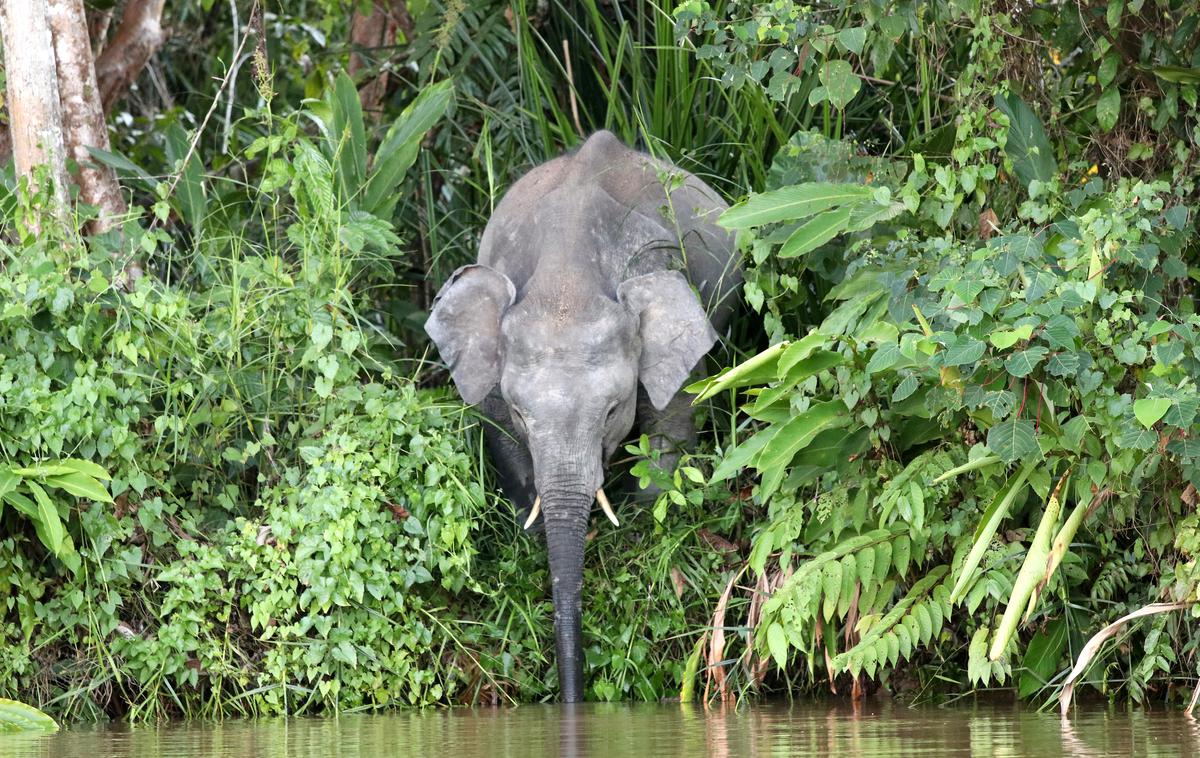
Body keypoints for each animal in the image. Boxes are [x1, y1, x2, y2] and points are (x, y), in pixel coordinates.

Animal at [422, 128, 739, 700]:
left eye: (612, 410)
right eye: (522, 413)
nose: (572, 698)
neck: (567, 278)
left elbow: (673, 425)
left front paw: (639, 527)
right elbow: (498, 434)